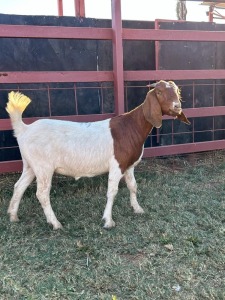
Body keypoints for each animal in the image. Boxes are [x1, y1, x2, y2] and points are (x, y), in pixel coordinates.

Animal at [5, 80, 190, 230]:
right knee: (42, 194)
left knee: (19, 186)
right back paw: (55, 223)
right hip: (44, 167)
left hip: (30, 165)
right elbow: (112, 191)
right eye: (159, 92)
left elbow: (133, 186)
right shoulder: (117, 164)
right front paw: (108, 220)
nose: (177, 106)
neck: (130, 127)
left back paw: (13, 216)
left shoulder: (129, 165)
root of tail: (24, 129)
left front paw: (137, 209)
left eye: (176, 91)